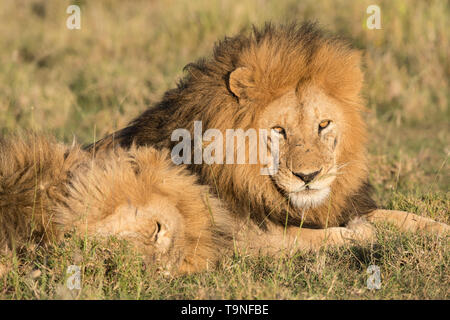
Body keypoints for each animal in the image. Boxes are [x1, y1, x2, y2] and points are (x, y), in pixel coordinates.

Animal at [88, 21, 446, 252]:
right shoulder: (250, 237)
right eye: (278, 130)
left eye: (323, 124)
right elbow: (332, 237)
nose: (308, 177)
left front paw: (440, 229)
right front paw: (363, 233)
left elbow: (402, 216)